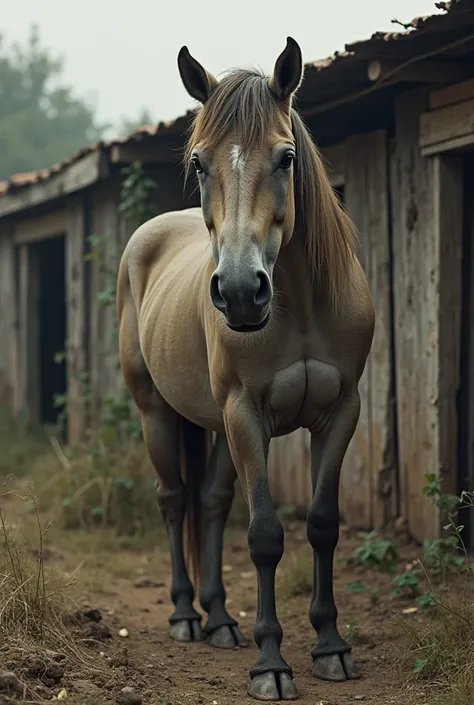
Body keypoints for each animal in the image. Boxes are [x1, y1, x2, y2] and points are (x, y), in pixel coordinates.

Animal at [115, 37, 374, 700]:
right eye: (200, 163)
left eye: (286, 158)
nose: (237, 293)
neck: (298, 303)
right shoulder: (246, 415)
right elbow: (263, 536)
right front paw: (271, 663)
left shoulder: (340, 412)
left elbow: (322, 524)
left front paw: (331, 646)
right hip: (160, 413)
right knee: (174, 499)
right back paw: (187, 613)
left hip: (214, 425)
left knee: (208, 502)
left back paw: (221, 619)